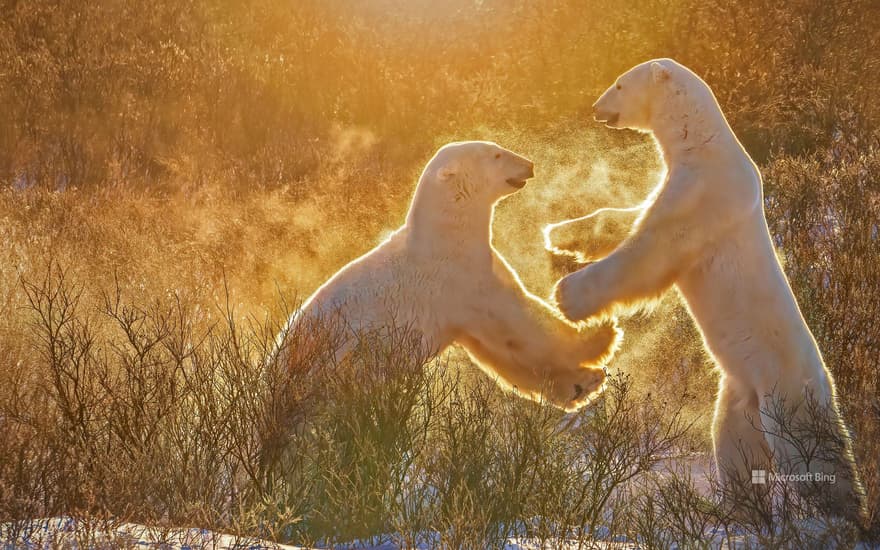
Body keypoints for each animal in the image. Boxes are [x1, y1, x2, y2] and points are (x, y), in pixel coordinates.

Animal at [288, 142, 620, 414]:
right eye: (496, 154)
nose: (529, 164)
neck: (446, 236)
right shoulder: (463, 279)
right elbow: (520, 324)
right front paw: (602, 334)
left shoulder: (466, 301)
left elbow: (500, 352)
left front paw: (581, 384)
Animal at [552, 60, 864, 520]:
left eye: (621, 83)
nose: (596, 107)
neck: (702, 143)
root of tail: (826, 384)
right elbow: (628, 218)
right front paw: (560, 233)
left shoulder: (701, 195)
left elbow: (650, 251)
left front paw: (566, 295)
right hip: (740, 393)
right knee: (734, 448)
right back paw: (740, 511)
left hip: (786, 394)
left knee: (809, 456)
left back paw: (842, 514)